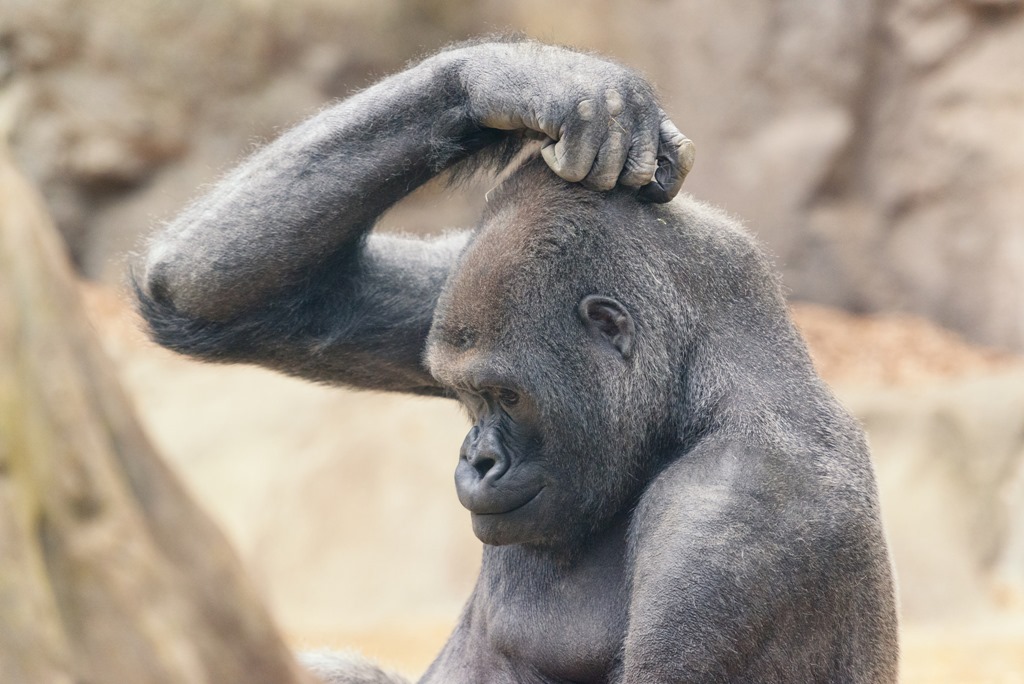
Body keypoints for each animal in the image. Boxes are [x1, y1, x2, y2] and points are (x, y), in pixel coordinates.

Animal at [136, 38, 899, 683]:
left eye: (507, 397)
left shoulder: (737, 524)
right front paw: (536, 80)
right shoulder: (449, 283)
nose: (478, 460)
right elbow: (234, 301)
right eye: (467, 397)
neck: (703, 388)